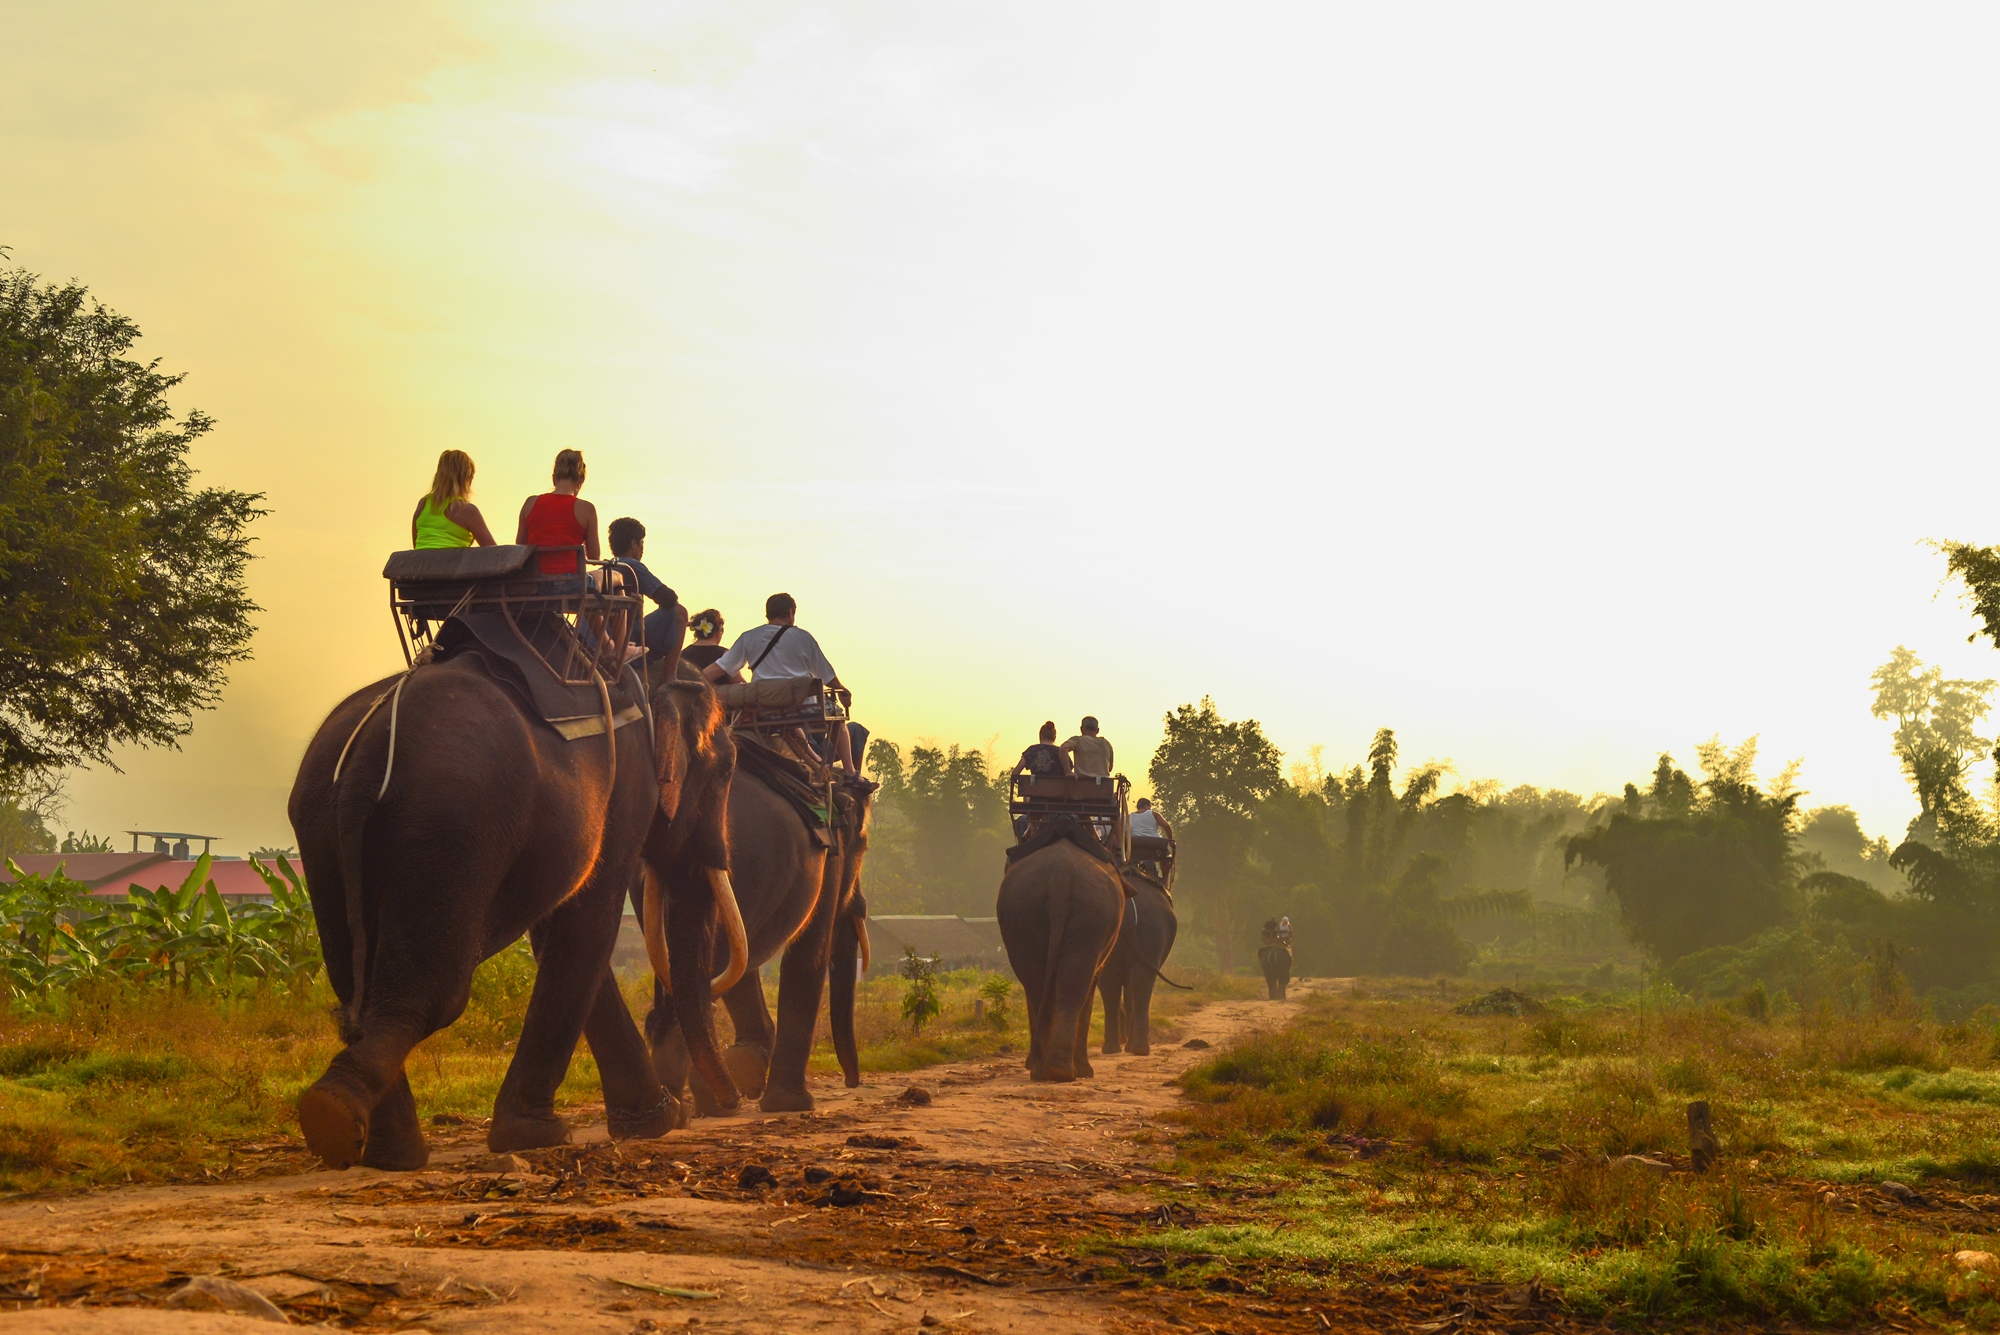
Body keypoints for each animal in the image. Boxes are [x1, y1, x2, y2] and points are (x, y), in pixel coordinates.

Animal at [288, 635, 744, 1167]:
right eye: (727, 768)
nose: (732, 1103)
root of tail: (367, 753)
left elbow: (556, 932)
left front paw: (653, 1120)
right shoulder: (626, 787)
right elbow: (590, 922)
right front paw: (542, 1134)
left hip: (321, 824)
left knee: (352, 988)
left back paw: (386, 1151)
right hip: (452, 821)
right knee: (432, 992)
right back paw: (336, 1115)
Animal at [644, 759, 872, 1119]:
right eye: (862, 846)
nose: (852, 1082)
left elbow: (744, 969)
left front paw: (748, 1069)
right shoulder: (829, 861)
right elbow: (808, 955)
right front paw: (791, 1104)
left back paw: (692, 1103)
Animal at [996, 823, 1128, 1087]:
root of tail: (1061, 875)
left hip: (1028, 913)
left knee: (1041, 984)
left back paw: (1049, 1070)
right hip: (1089, 914)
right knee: (1070, 985)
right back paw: (1060, 1071)